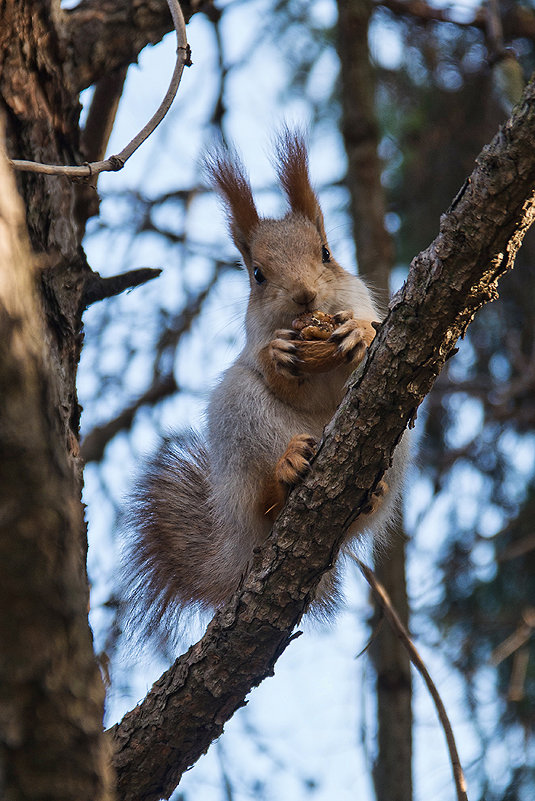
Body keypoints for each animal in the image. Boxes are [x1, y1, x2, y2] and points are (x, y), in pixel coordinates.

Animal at [126, 128, 406, 636]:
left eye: (326, 253)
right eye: (257, 274)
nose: (304, 295)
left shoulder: (363, 302)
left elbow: (368, 331)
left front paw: (358, 333)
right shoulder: (254, 338)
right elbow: (274, 372)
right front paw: (277, 356)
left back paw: (370, 496)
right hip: (240, 421)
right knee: (265, 498)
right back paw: (287, 469)